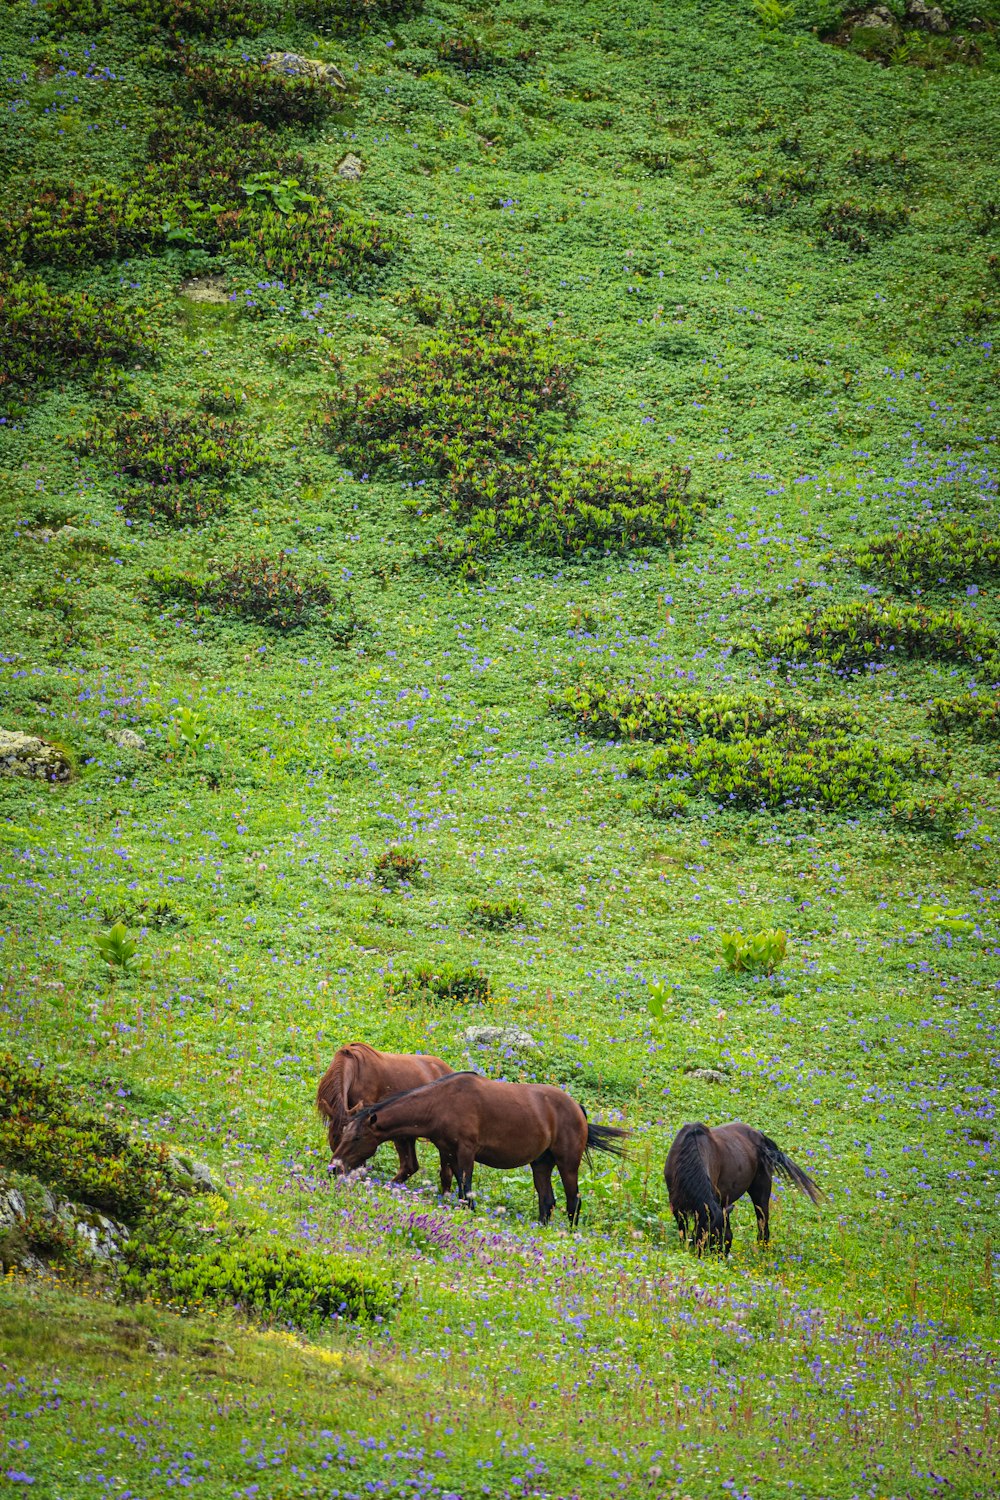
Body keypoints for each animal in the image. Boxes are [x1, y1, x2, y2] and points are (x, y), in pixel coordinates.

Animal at [332, 1074, 626, 1224]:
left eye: (356, 1138)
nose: (334, 1167)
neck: (441, 1102)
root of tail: (577, 1108)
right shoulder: (449, 1152)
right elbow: (458, 1187)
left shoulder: (466, 1151)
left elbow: (466, 1188)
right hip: (541, 1164)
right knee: (547, 1201)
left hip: (567, 1164)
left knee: (573, 1201)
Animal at [665, 1122, 821, 1248]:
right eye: (710, 1239)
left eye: (726, 1240)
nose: (719, 1262)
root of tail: (761, 1136)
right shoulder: (677, 1205)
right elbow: (683, 1230)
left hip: (761, 1190)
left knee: (763, 1221)